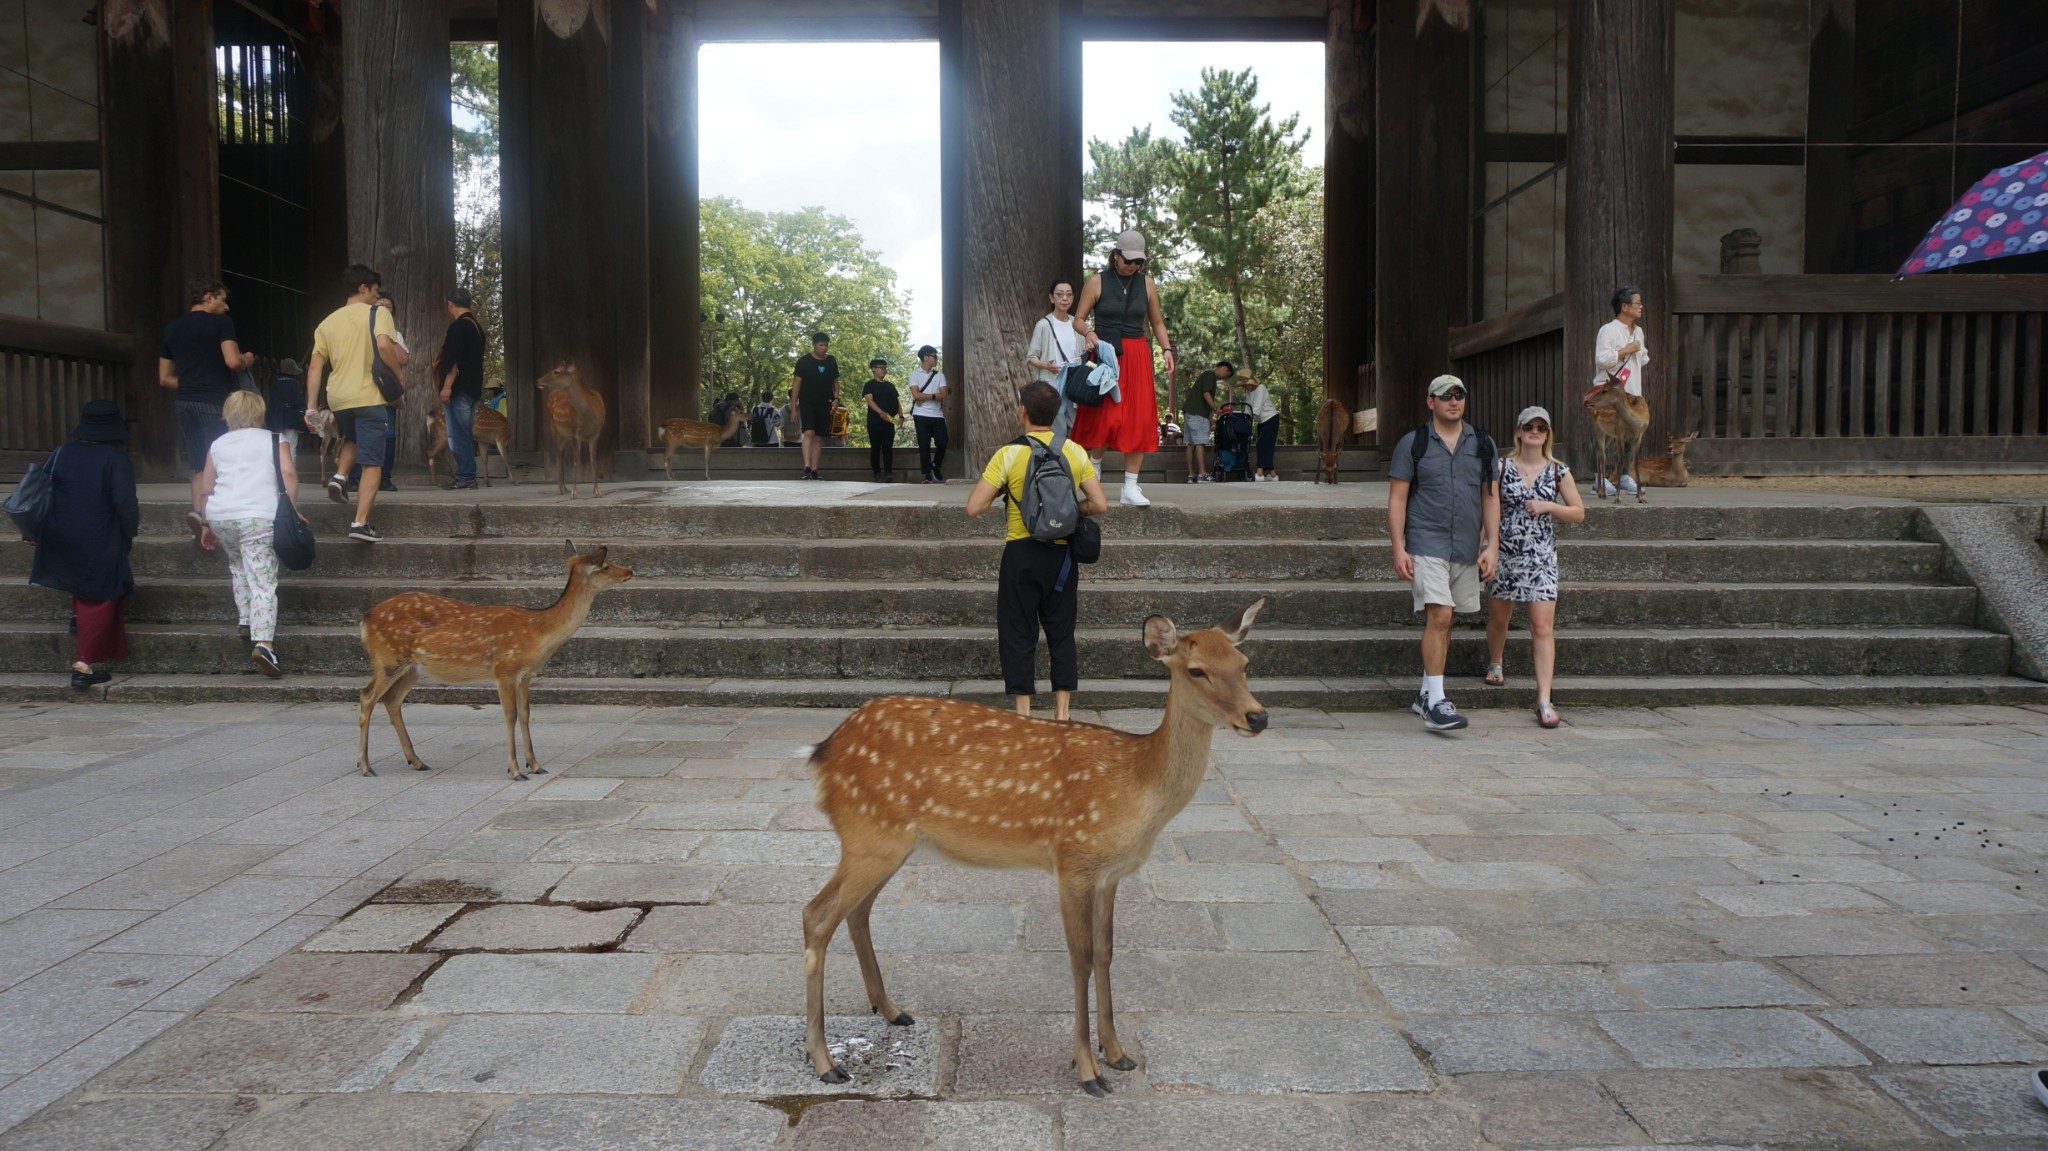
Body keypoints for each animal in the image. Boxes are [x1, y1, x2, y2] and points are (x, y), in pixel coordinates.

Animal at [356, 540, 630, 778]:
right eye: (605, 565)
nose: (630, 570)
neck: (539, 632)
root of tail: (365, 620)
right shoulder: (504, 670)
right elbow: (510, 715)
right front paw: (516, 771)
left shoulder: (526, 675)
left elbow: (526, 714)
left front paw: (535, 765)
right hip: (388, 658)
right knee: (367, 696)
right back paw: (366, 766)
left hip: (411, 667)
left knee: (391, 700)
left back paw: (416, 761)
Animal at [536, 360, 606, 495]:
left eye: (556, 371)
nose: (538, 381)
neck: (589, 415)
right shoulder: (575, 432)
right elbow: (576, 461)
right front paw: (574, 492)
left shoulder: (596, 433)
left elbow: (593, 460)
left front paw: (597, 491)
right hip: (553, 426)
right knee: (557, 454)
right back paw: (560, 488)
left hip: (565, 435)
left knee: (562, 453)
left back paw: (565, 487)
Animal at [806, 593, 1269, 1089]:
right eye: (1197, 670)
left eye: (1244, 663)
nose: (1258, 716)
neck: (1136, 786)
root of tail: (821, 753)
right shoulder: (1073, 859)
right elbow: (1080, 958)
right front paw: (1087, 1071)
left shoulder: (1110, 874)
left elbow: (1106, 953)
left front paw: (1118, 1053)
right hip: (869, 833)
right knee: (816, 915)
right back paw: (825, 1061)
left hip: (888, 843)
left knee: (857, 912)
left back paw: (892, 1010)